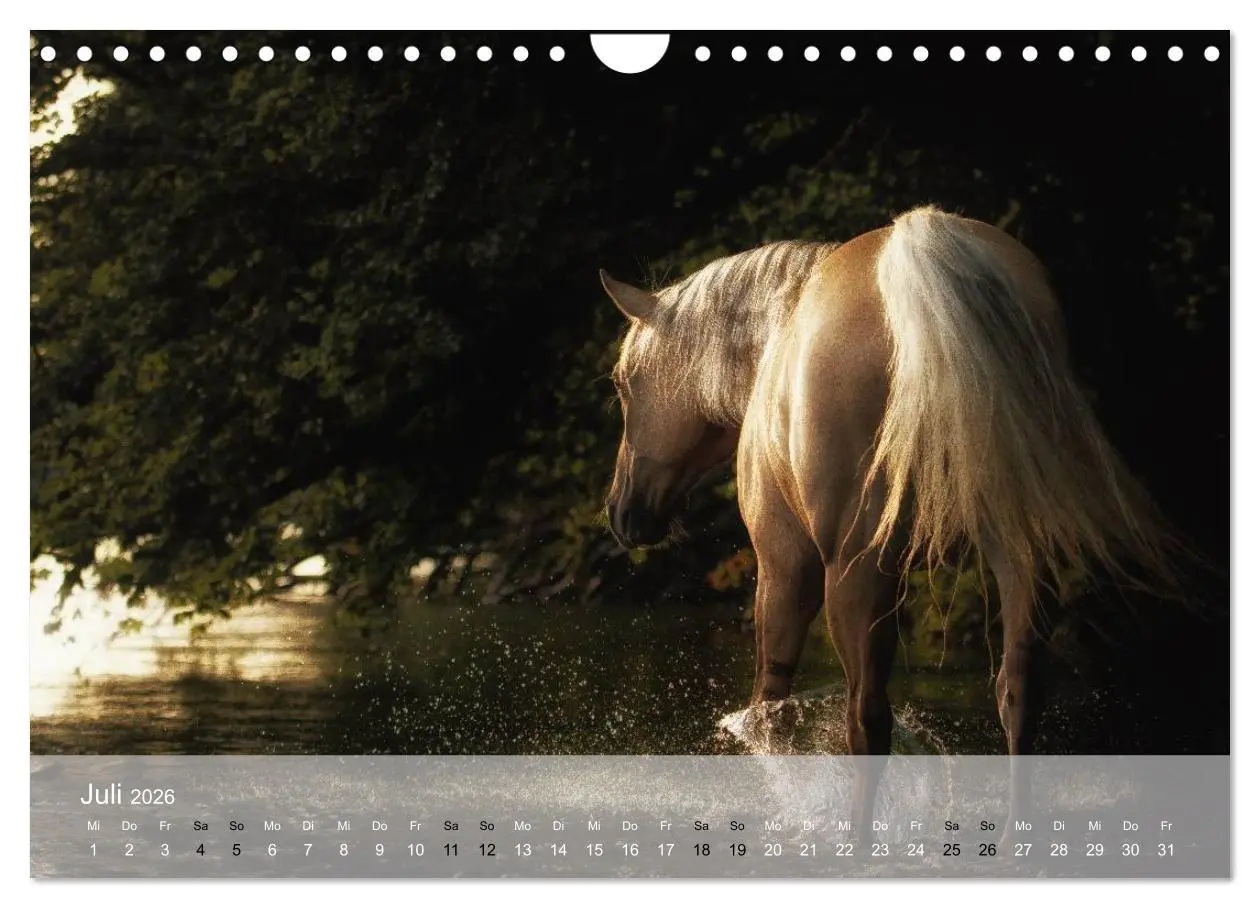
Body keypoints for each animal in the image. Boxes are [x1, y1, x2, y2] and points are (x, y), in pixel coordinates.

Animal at [599, 206, 1173, 847]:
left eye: (623, 384)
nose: (622, 512)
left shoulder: (784, 569)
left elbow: (770, 713)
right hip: (1020, 554)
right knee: (1018, 693)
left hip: (856, 571)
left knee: (867, 719)